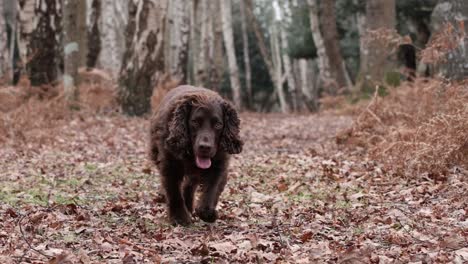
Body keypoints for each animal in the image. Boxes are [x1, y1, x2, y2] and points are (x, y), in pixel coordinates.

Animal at [150, 85, 243, 226]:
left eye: (218, 124)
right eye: (195, 122)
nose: (205, 147)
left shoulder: (219, 165)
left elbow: (212, 189)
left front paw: (207, 213)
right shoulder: (170, 164)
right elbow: (174, 192)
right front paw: (179, 217)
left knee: (190, 184)